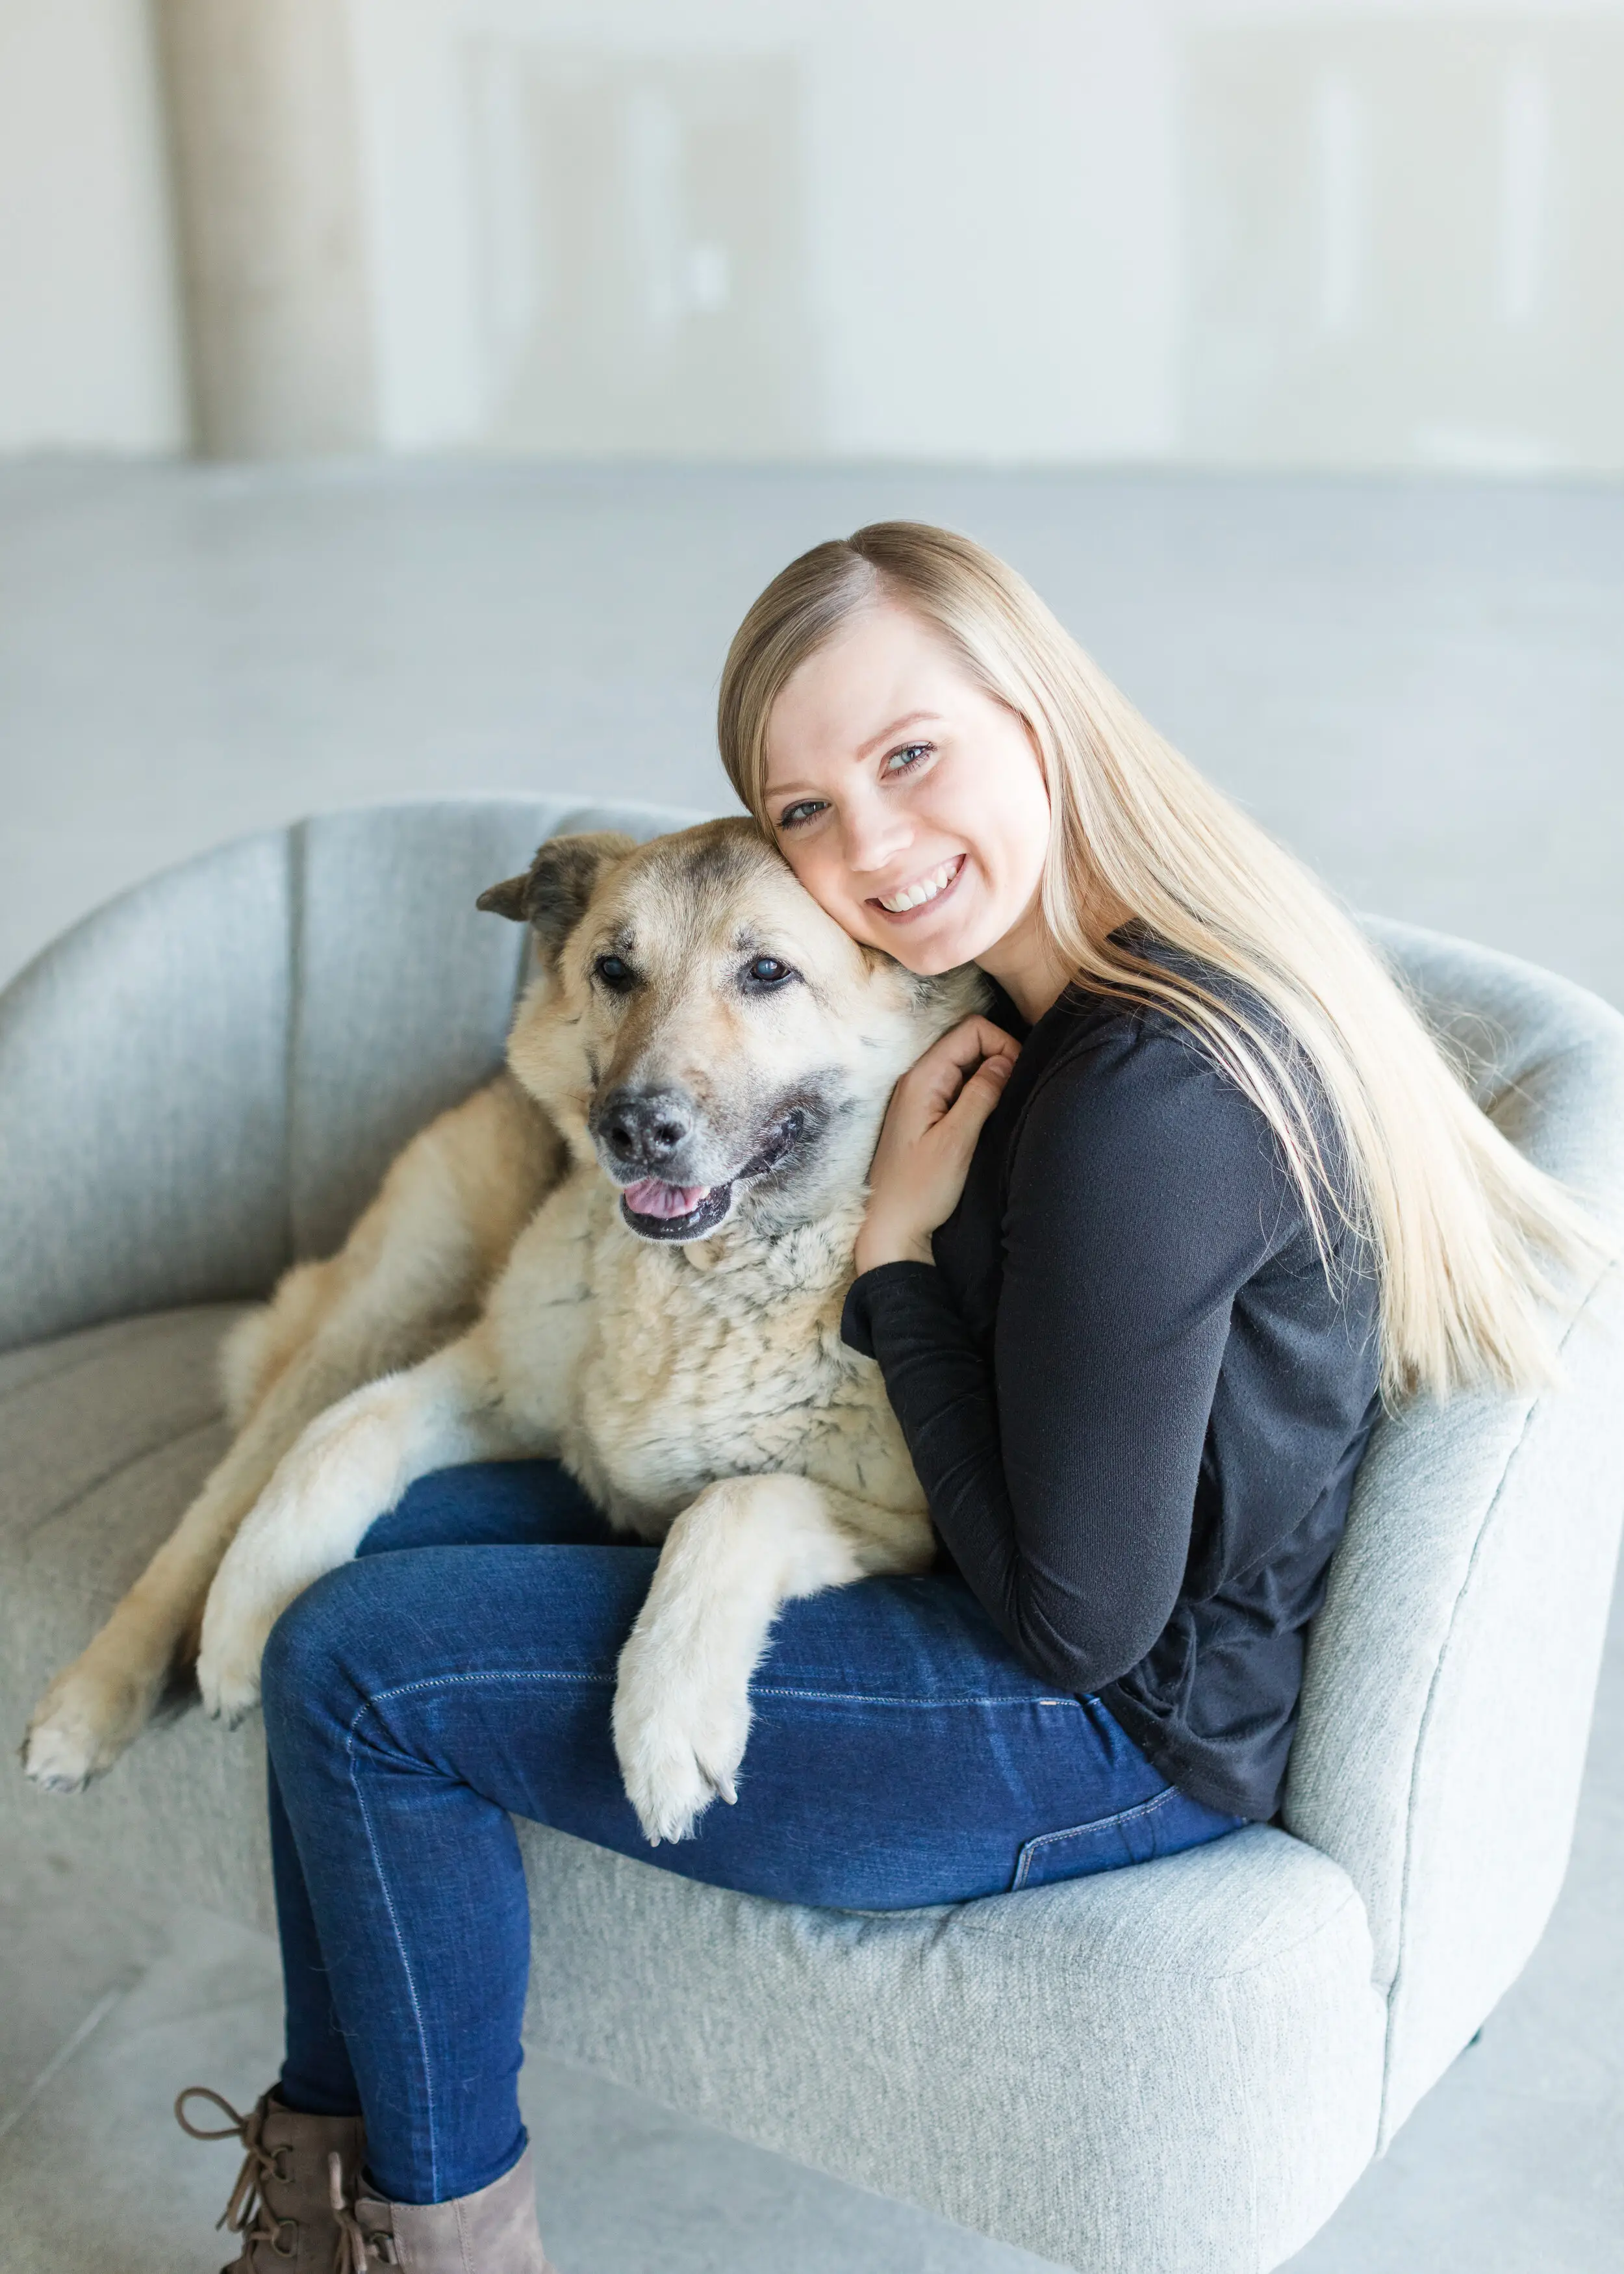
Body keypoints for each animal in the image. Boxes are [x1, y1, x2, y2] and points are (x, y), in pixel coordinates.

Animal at [25, 823, 982, 1846]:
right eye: (614, 969)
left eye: (768, 971)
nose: (629, 1129)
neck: (699, 1279)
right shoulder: (489, 1373)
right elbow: (341, 1436)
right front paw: (251, 1609)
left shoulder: (904, 1531)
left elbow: (734, 1502)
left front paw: (668, 1709)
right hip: (380, 1312)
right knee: (219, 1504)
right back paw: (92, 1698)